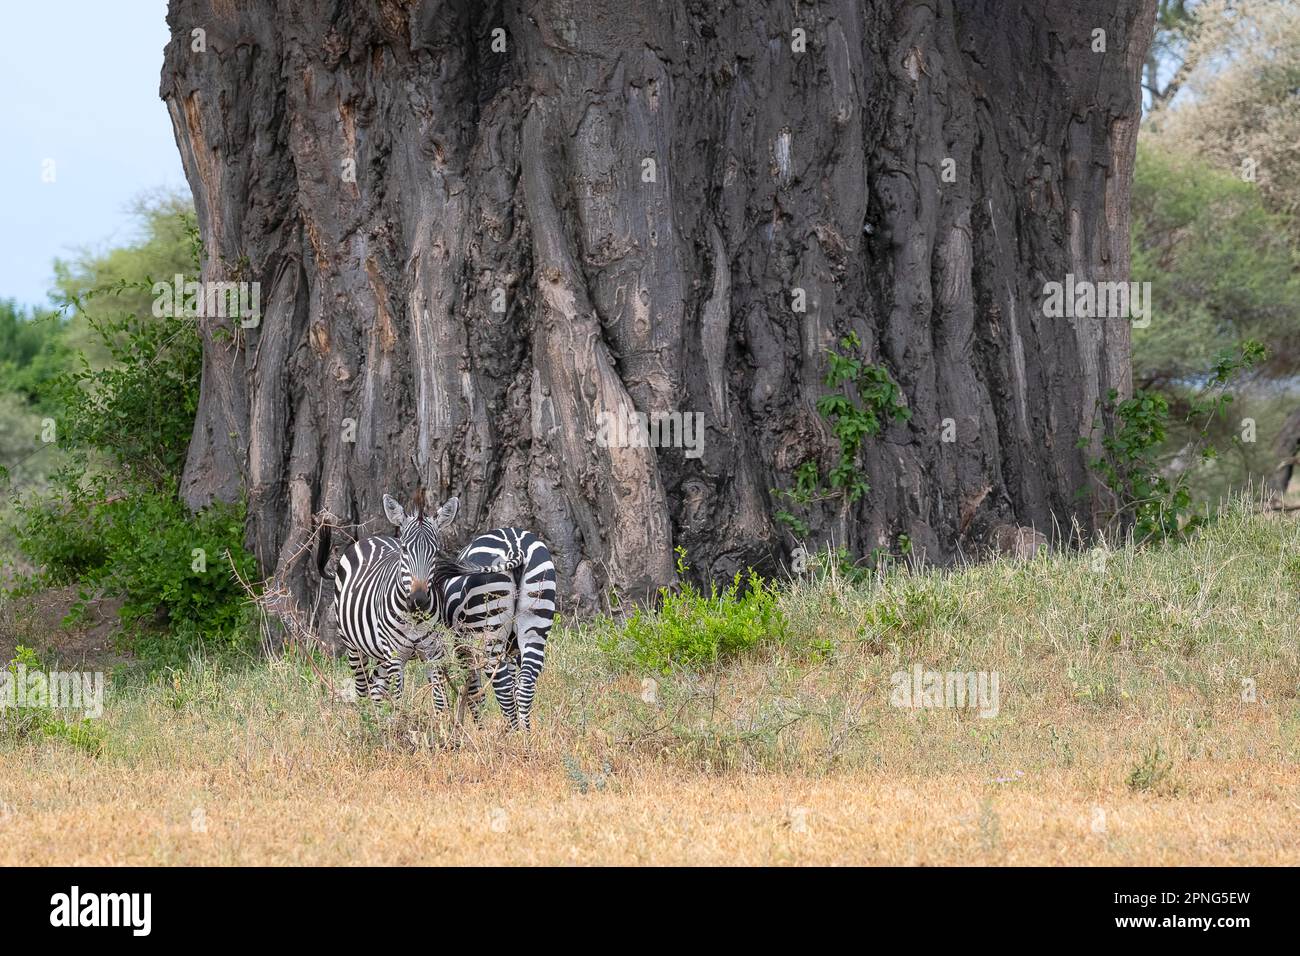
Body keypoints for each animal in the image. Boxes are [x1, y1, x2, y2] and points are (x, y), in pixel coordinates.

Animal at [330, 489, 553, 728]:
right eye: (404, 550)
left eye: (435, 552)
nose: (419, 599)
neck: (414, 617)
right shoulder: (399, 653)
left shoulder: (438, 650)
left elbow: (452, 696)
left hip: (491, 634)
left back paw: (511, 734)